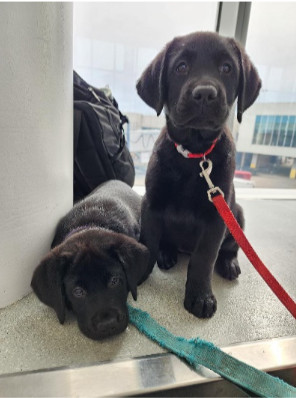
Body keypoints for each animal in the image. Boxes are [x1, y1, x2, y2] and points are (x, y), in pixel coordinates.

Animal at [136, 30, 262, 318]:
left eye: (227, 68)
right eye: (181, 67)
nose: (205, 93)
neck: (194, 156)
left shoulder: (216, 216)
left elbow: (204, 259)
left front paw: (200, 297)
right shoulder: (151, 203)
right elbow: (147, 241)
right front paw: (138, 273)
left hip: (236, 213)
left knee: (230, 248)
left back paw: (229, 264)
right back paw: (167, 253)